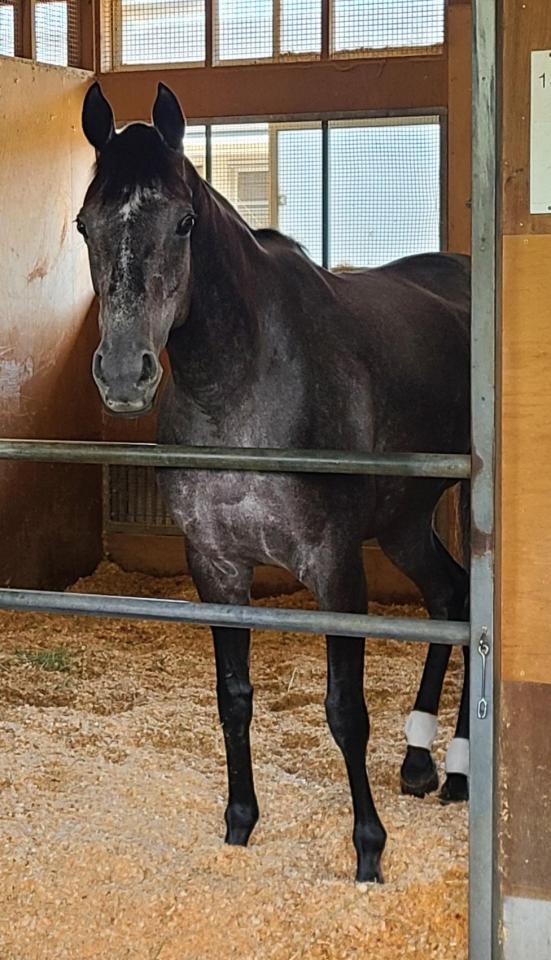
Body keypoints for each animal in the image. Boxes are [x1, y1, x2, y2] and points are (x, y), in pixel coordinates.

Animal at [78, 84, 470, 884]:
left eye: (185, 221)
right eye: (84, 224)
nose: (126, 373)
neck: (244, 386)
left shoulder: (335, 567)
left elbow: (345, 711)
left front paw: (368, 851)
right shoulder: (217, 566)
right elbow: (233, 698)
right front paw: (239, 825)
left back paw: (459, 770)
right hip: (404, 521)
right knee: (449, 596)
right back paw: (420, 762)